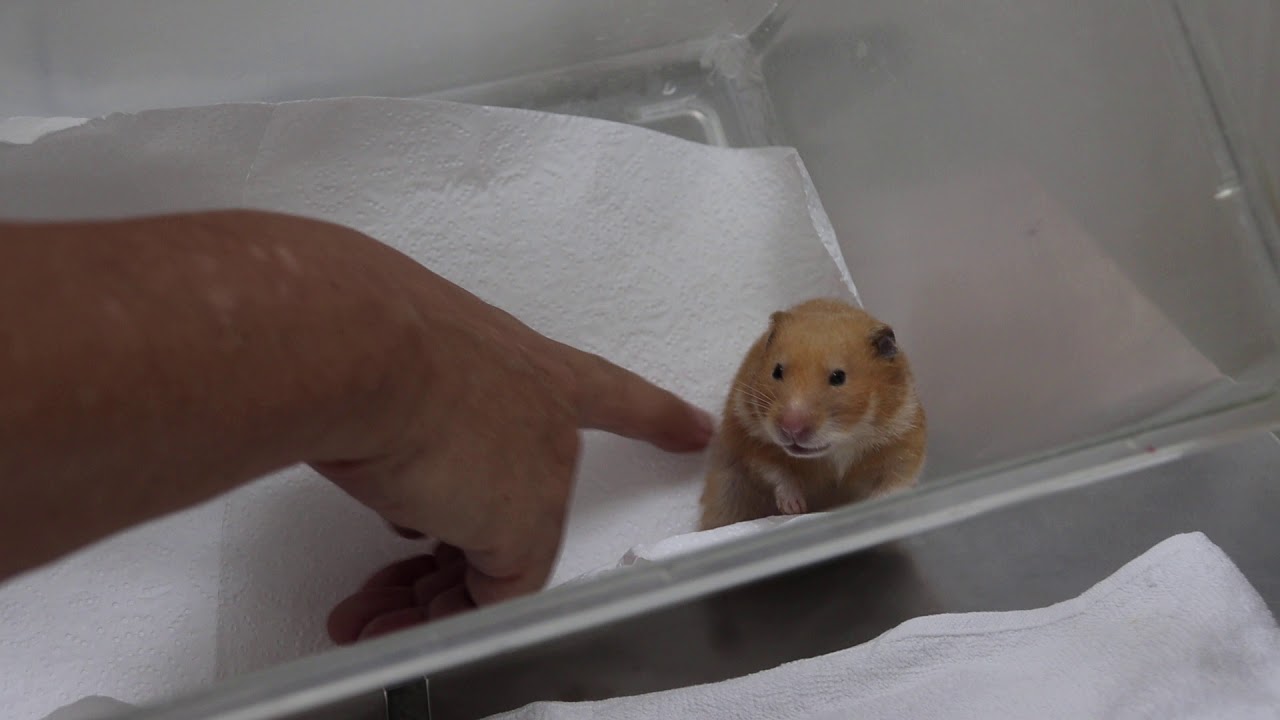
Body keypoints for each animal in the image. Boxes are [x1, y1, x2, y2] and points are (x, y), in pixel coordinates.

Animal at [698, 298, 926, 531]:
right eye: (777, 371)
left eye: (838, 377)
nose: (791, 428)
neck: (839, 447)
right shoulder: (749, 437)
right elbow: (775, 471)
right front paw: (795, 508)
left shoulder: (904, 442)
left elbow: (894, 483)